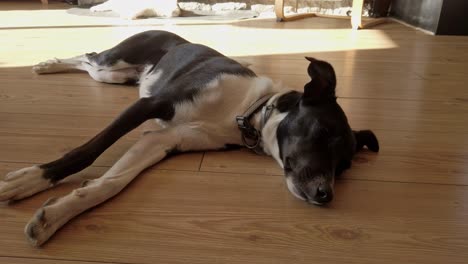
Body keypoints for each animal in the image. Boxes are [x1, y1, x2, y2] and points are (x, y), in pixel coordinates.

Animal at [0, 29, 378, 246]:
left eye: (344, 166)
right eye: (322, 132)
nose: (325, 194)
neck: (247, 109)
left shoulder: (162, 140)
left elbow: (112, 183)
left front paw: (57, 214)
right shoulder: (150, 105)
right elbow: (88, 151)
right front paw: (33, 179)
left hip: (114, 76)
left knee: (88, 64)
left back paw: (49, 65)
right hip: (116, 63)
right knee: (90, 55)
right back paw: (49, 64)